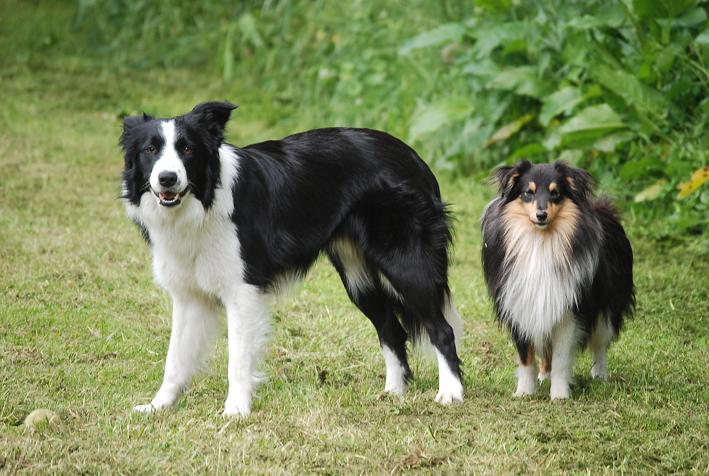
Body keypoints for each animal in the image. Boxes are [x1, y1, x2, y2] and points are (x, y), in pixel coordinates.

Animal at [478, 162, 632, 400]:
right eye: (528, 192)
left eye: (556, 193)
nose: (541, 215)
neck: (540, 240)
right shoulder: (520, 304)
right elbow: (526, 357)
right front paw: (525, 391)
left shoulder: (570, 310)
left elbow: (561, 358)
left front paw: (560, 394)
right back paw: (544, 375)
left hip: (607, 306)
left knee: (600, 343)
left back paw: (600, 375)